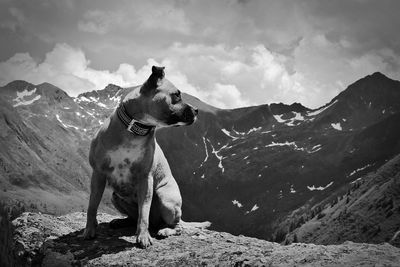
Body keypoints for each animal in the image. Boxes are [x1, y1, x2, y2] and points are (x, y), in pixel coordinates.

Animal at [83, 65, 200, 249]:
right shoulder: (98, 174)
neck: (135, 129)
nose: (196, 110)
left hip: (165, 198)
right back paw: (121, 222)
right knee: (134, 218)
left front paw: (143, 237)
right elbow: (92, 205)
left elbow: (143, 213)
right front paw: (89, 229)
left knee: (175, 225)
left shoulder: (145, 179)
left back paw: (165, 230)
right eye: (176, 95)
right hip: (116, 196)